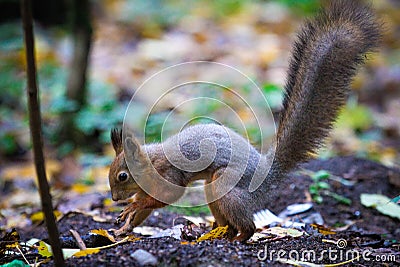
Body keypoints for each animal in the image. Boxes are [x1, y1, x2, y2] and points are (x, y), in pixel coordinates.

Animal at [108, 0, 380, 243]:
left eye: (122, 176)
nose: (113, 199)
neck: (150, 163)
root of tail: (267, 175)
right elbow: (144, 211)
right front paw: (124, 228)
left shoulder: (169, 174)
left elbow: (168, 196)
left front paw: (131, 208)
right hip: (212, 188)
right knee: (227, 222)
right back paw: (217, 234)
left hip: (226, 185)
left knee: (249, 226)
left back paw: (238, 238)